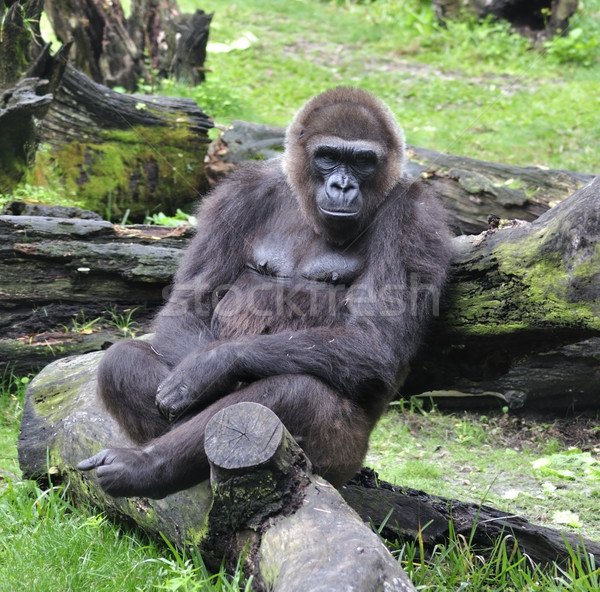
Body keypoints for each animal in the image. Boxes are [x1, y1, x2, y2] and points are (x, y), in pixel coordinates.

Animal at [81, 85, 454, 498]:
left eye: (363, 161)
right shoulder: (237, 194)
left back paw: (148, 465)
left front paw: (213, 366)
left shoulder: (415, 218)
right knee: (122, 360)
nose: (342, 185)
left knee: (294, 391)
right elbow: (190, 304)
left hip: (342, 459)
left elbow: (374, 339)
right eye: (328, 157)